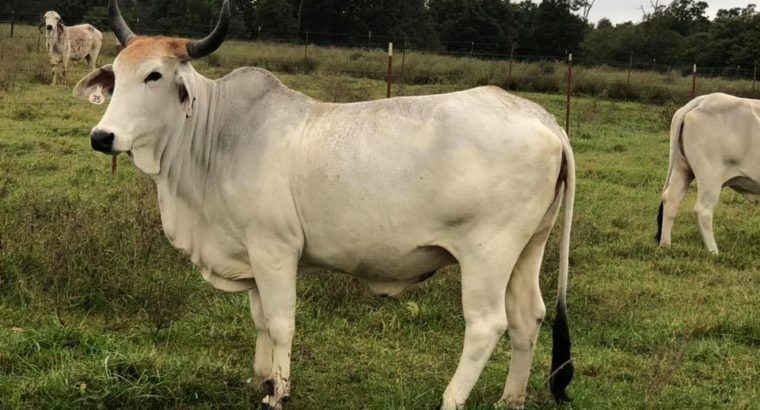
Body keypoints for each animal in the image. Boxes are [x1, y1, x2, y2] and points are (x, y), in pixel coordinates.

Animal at [74, 1, 576, 409]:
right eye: (116, 75)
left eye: (154, 75)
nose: (102, 137)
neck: (217, 136)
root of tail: (544, 120)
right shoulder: (250, 255)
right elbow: (259, 321)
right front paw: (260, 380)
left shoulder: (275, 251)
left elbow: (280, 323)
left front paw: (277, 392)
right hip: (528, 249)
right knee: (527, 317)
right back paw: (510, 399)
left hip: (487, 254)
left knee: (487, 324)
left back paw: (452, 399)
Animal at [657, 93, 760, 255]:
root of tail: (702, 100)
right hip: (710, 177)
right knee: (703, 210)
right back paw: (713, 251)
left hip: (682, 168)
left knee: (671, 200)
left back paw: (665, 245)